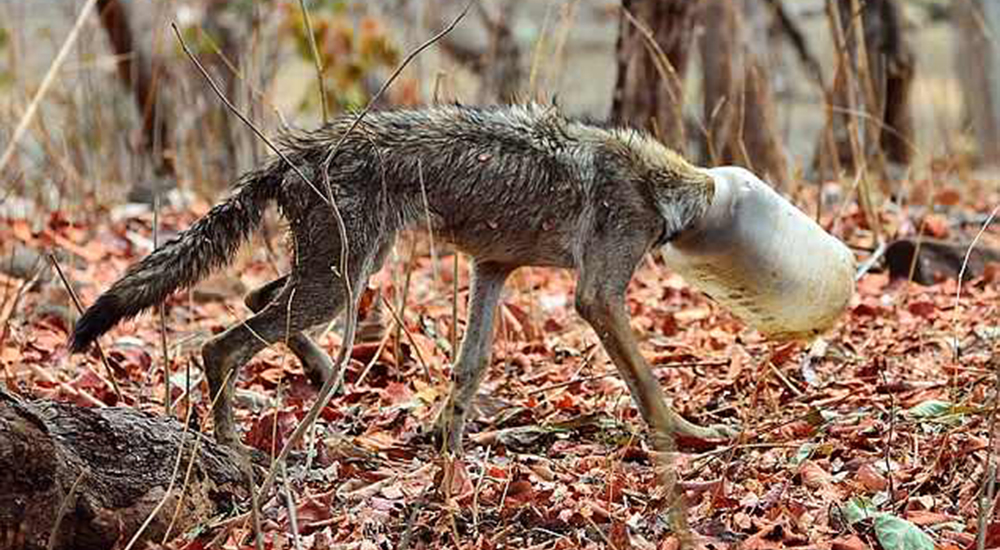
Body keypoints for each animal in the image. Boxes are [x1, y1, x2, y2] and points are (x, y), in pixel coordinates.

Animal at [68, 103, 736, 458]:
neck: (658, 184)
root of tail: (290, 155)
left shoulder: (491, 269)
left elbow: (470, 366)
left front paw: (447, 443)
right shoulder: (597, 297)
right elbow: (648, 382)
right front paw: (688, 434)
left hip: (344, 275)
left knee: (256, 300)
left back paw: (320, 373)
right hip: (338, 284)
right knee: (220, 345)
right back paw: (232, 445)